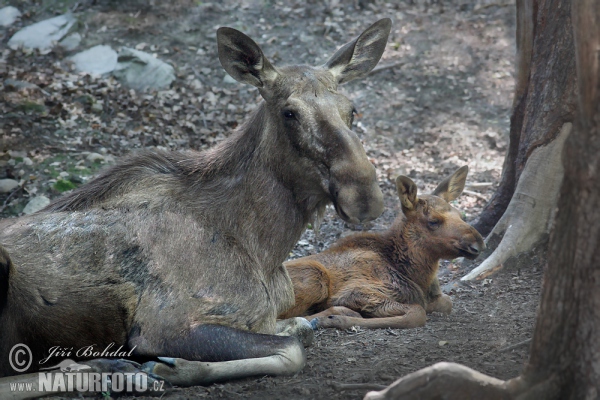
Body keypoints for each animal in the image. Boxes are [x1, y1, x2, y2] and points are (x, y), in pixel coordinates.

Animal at [0, 19, 392, 390]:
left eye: (351, 109)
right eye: (289, 112)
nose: (364, 195)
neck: (264, 249)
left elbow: (303, 329)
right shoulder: (165, 326)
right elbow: (293, 349)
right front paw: (173, 367)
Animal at [278, 167, 486, 330]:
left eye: (460, 215)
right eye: (433, 221)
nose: (478, 243)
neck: (416, 275)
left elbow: (446, 302)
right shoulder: (354, 291)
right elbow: (417, 312)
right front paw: (337, 318)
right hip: (315, 276)